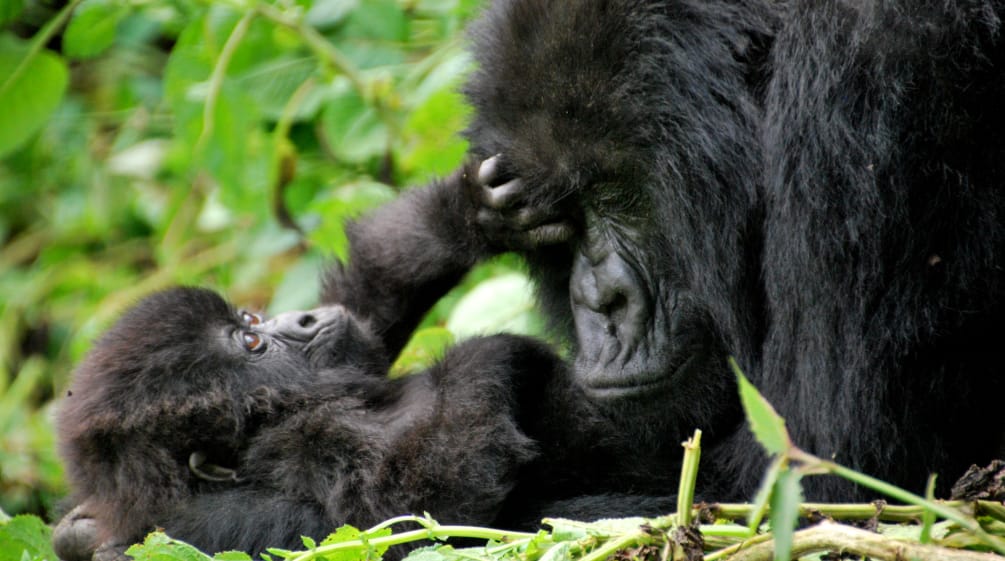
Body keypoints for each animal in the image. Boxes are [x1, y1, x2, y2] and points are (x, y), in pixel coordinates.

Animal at [55, 287, 562, 558]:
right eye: (253, 341)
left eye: (250, 318)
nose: (306, 315)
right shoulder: (313, 440)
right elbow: (423, 509)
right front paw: (496, 352)